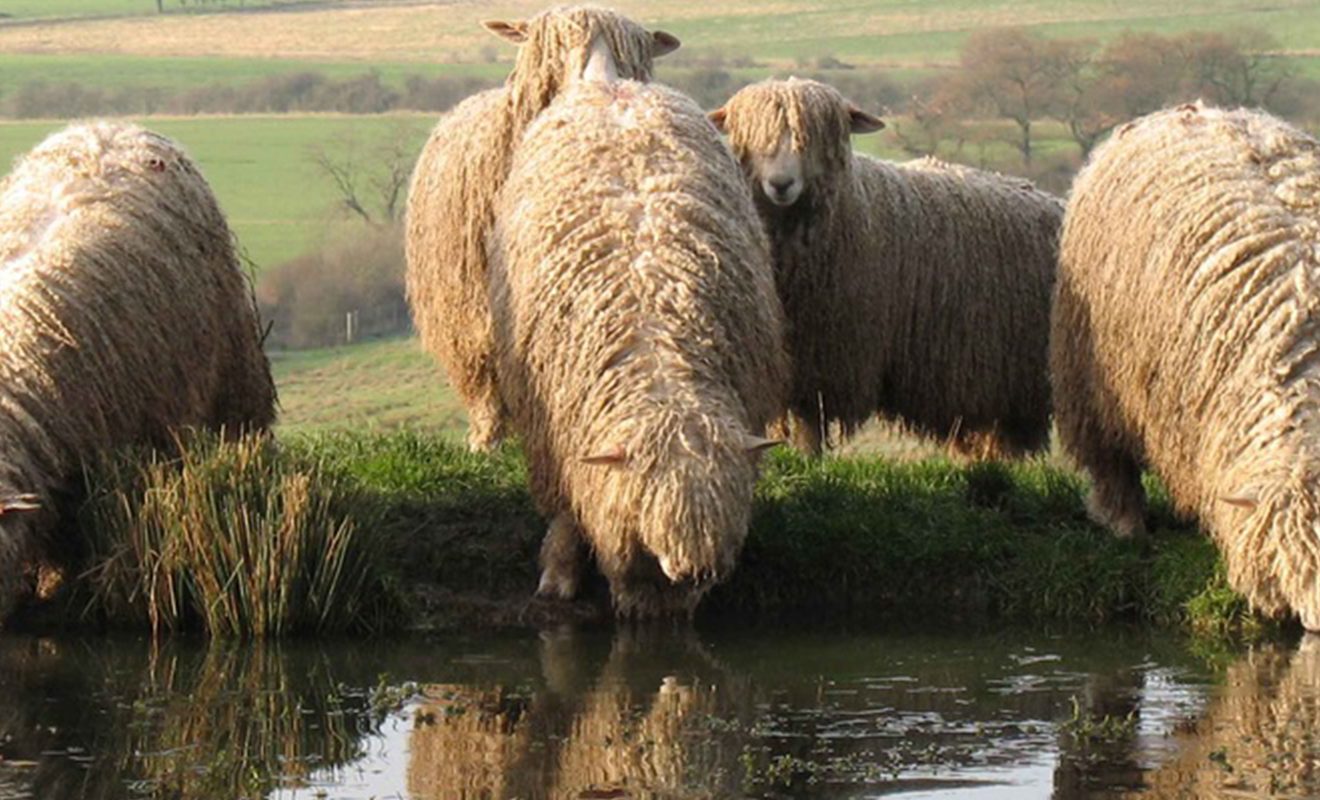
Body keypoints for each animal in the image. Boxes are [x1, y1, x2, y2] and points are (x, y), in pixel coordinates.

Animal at [403, 6, 681, 454]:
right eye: (554, 45)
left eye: (629, 53)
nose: (599, 83)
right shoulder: (474, 309)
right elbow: (485, 379)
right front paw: (486, 442)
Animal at [491, 45, 786, 620]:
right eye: (655, 498)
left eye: (721, 508)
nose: (697, 569)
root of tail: (613, 83)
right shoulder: (555, 437)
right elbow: (567, 512)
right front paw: (560, 575)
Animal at [712, 80, 1061, 462]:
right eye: (749, 134)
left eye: (815, 136)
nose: (780, 183)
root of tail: (1050, 199)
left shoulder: (827, 353)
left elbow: (809, 418)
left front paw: (808, 459)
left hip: (1018, 380)